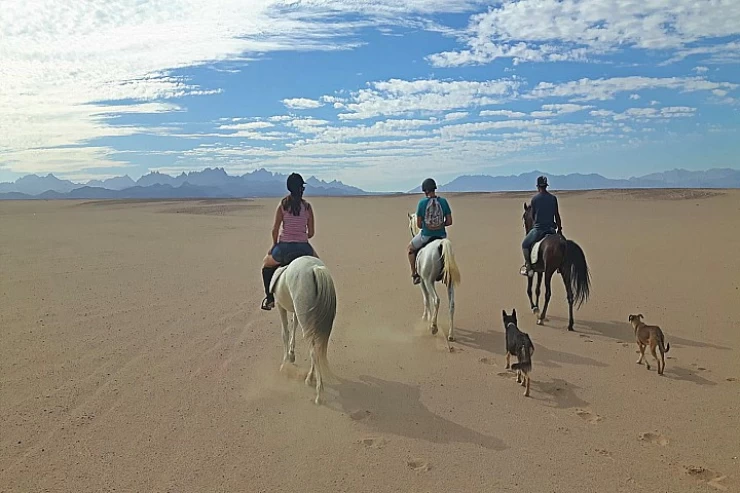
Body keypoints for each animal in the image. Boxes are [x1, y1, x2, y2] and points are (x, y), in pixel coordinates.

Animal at [270, 254, 336, 404]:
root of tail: (315, 268)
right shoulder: (296, 311)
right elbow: (294, 325)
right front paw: (291, 354)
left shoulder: (280, 306)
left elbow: (285, 333)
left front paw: (285, 363)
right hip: (312, 319)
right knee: (316, 347)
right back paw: (310, 379)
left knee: (313, 351)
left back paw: (318, 392)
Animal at [408, 211, 460, 350]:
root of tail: (441, 244)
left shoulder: (423, 281)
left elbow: (426, 299)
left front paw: (426, 318)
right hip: (449, 283)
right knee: (452, 305)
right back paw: (451, 335)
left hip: (428, 281)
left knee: (436, 300)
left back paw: (433, 327)